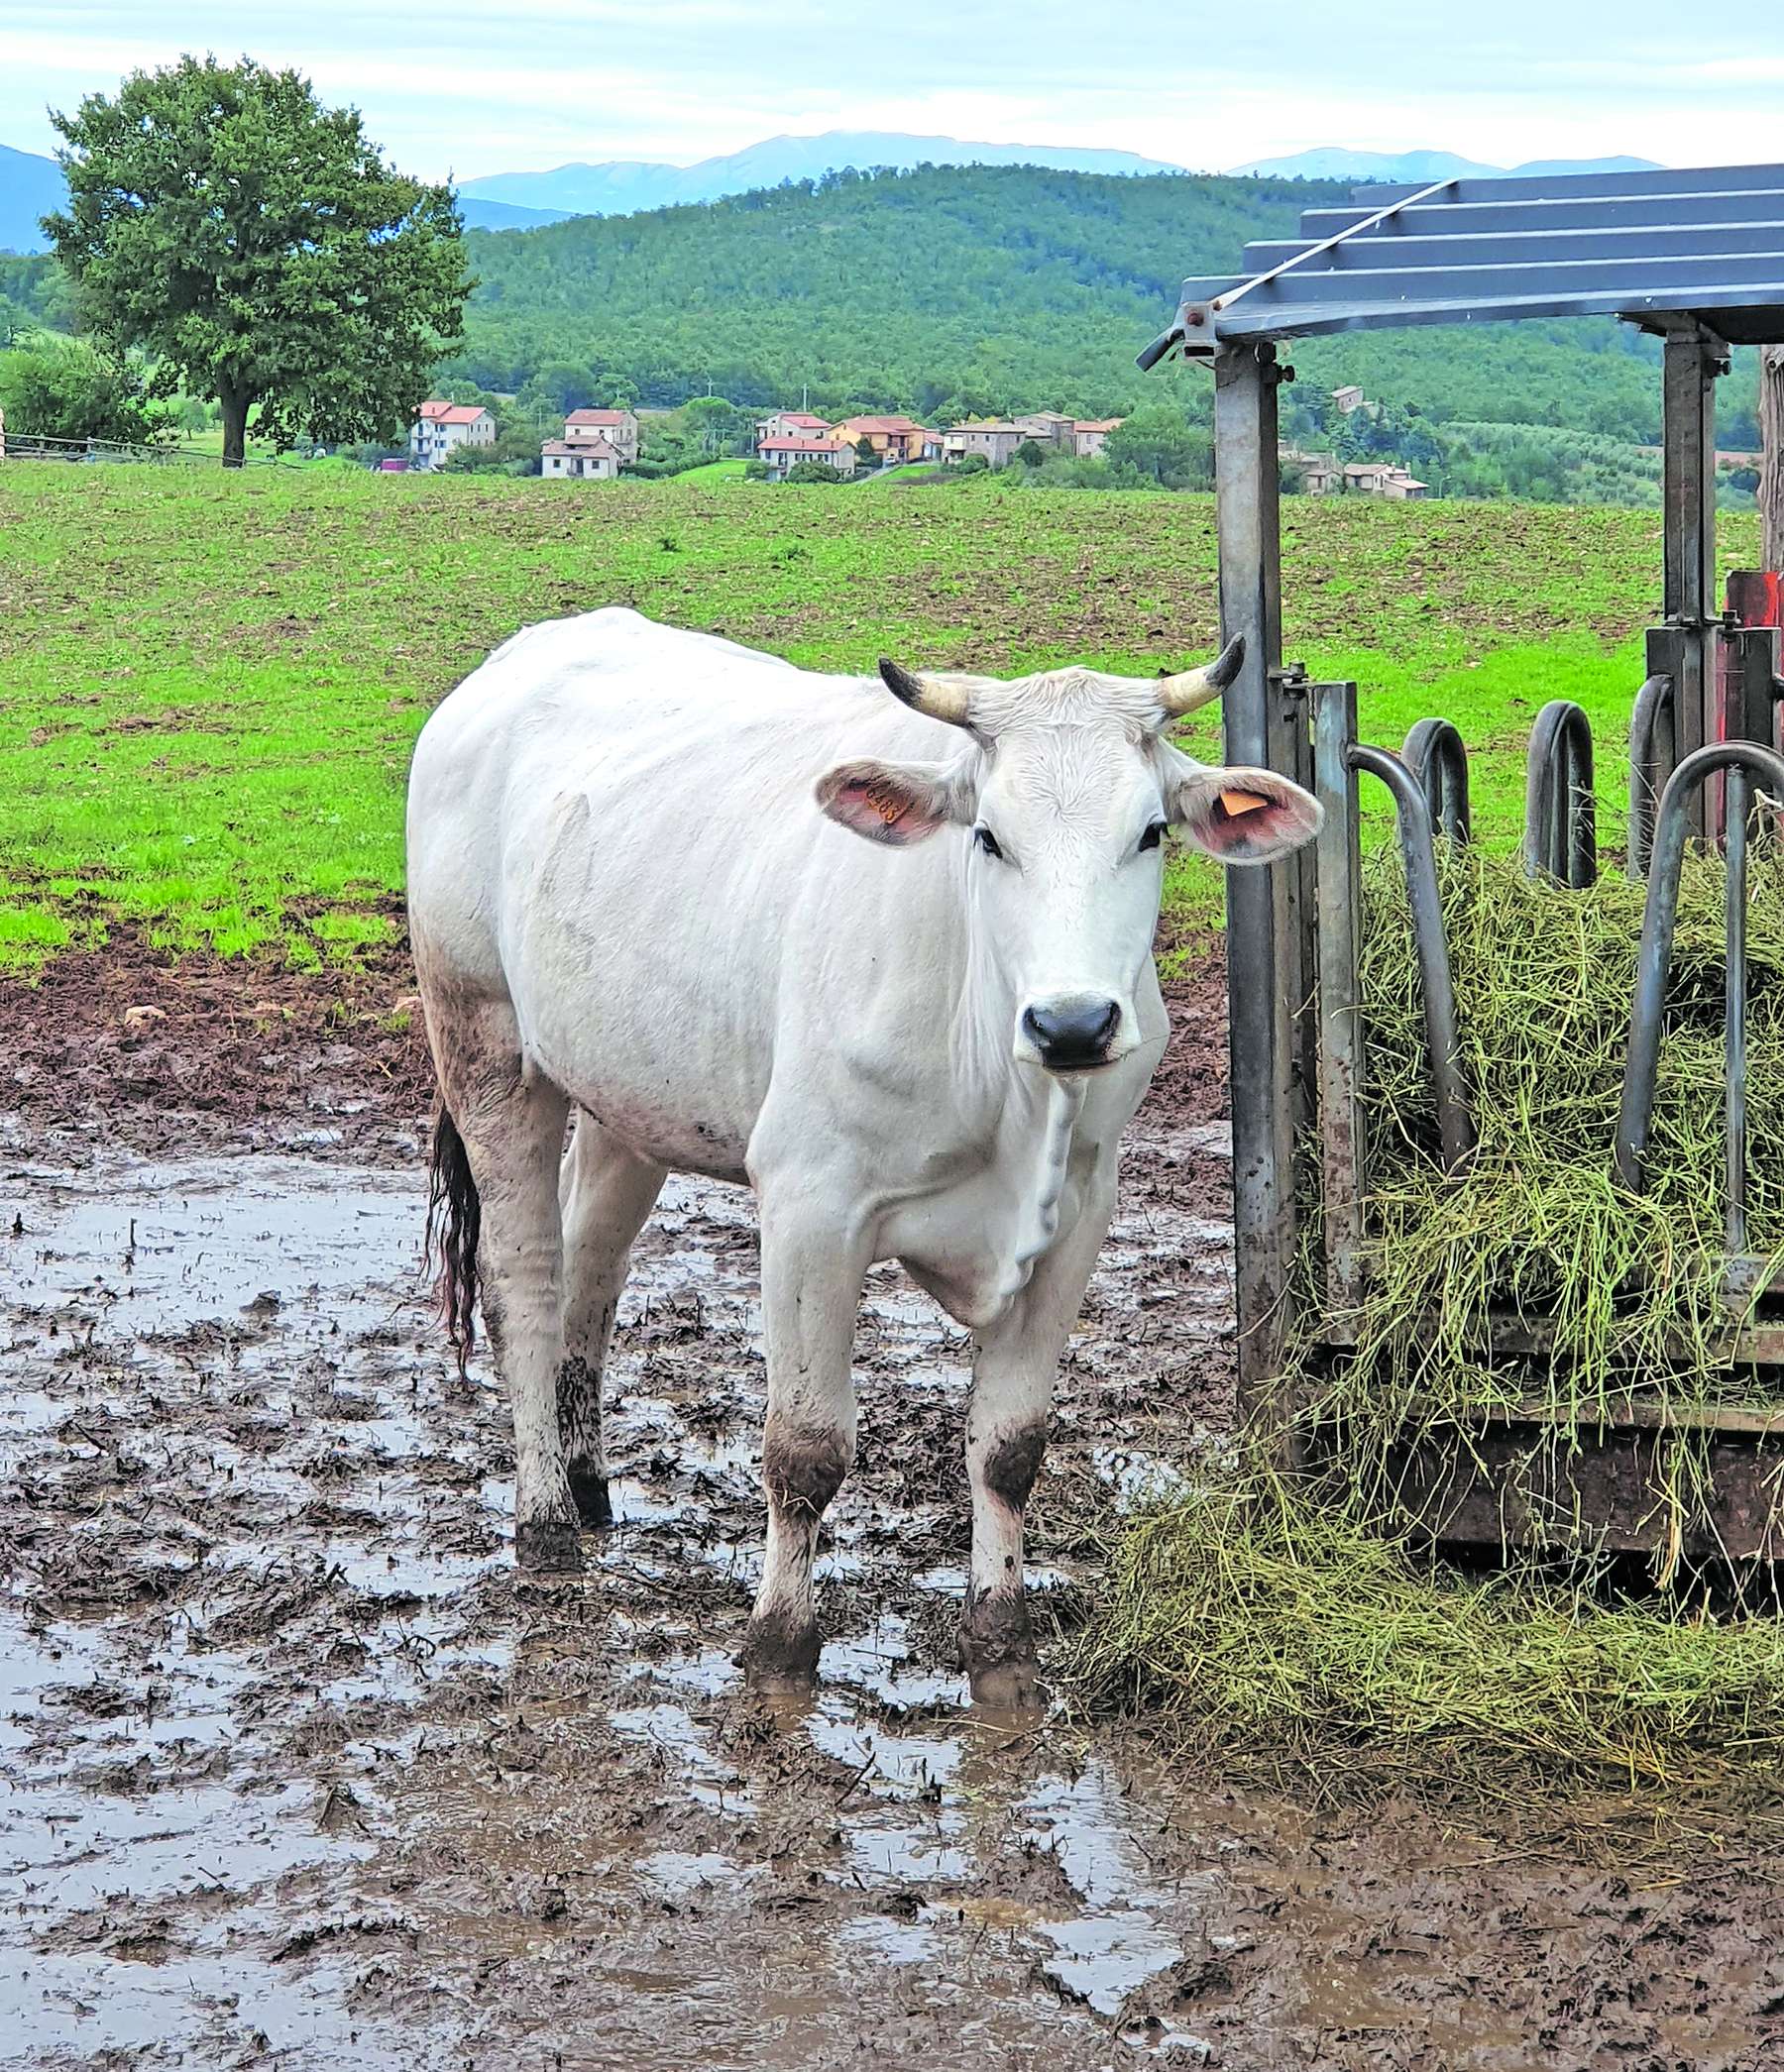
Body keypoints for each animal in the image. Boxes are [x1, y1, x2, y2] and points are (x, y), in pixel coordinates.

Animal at [407, 604, 1325, 1706]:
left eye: (1150, 832)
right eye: (988, 836)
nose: (1071, 1023)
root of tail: (516, 657)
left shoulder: (1079, 1215)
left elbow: (1010, 1446)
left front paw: (1000, 1635)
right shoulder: (811, 1206)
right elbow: (804, 1449)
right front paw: (779, 1643)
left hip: (628, 1091)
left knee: (594, 1261)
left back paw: (588, 1482)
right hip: (486, 1047)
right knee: (526, 1282)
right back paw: (546, 1520)